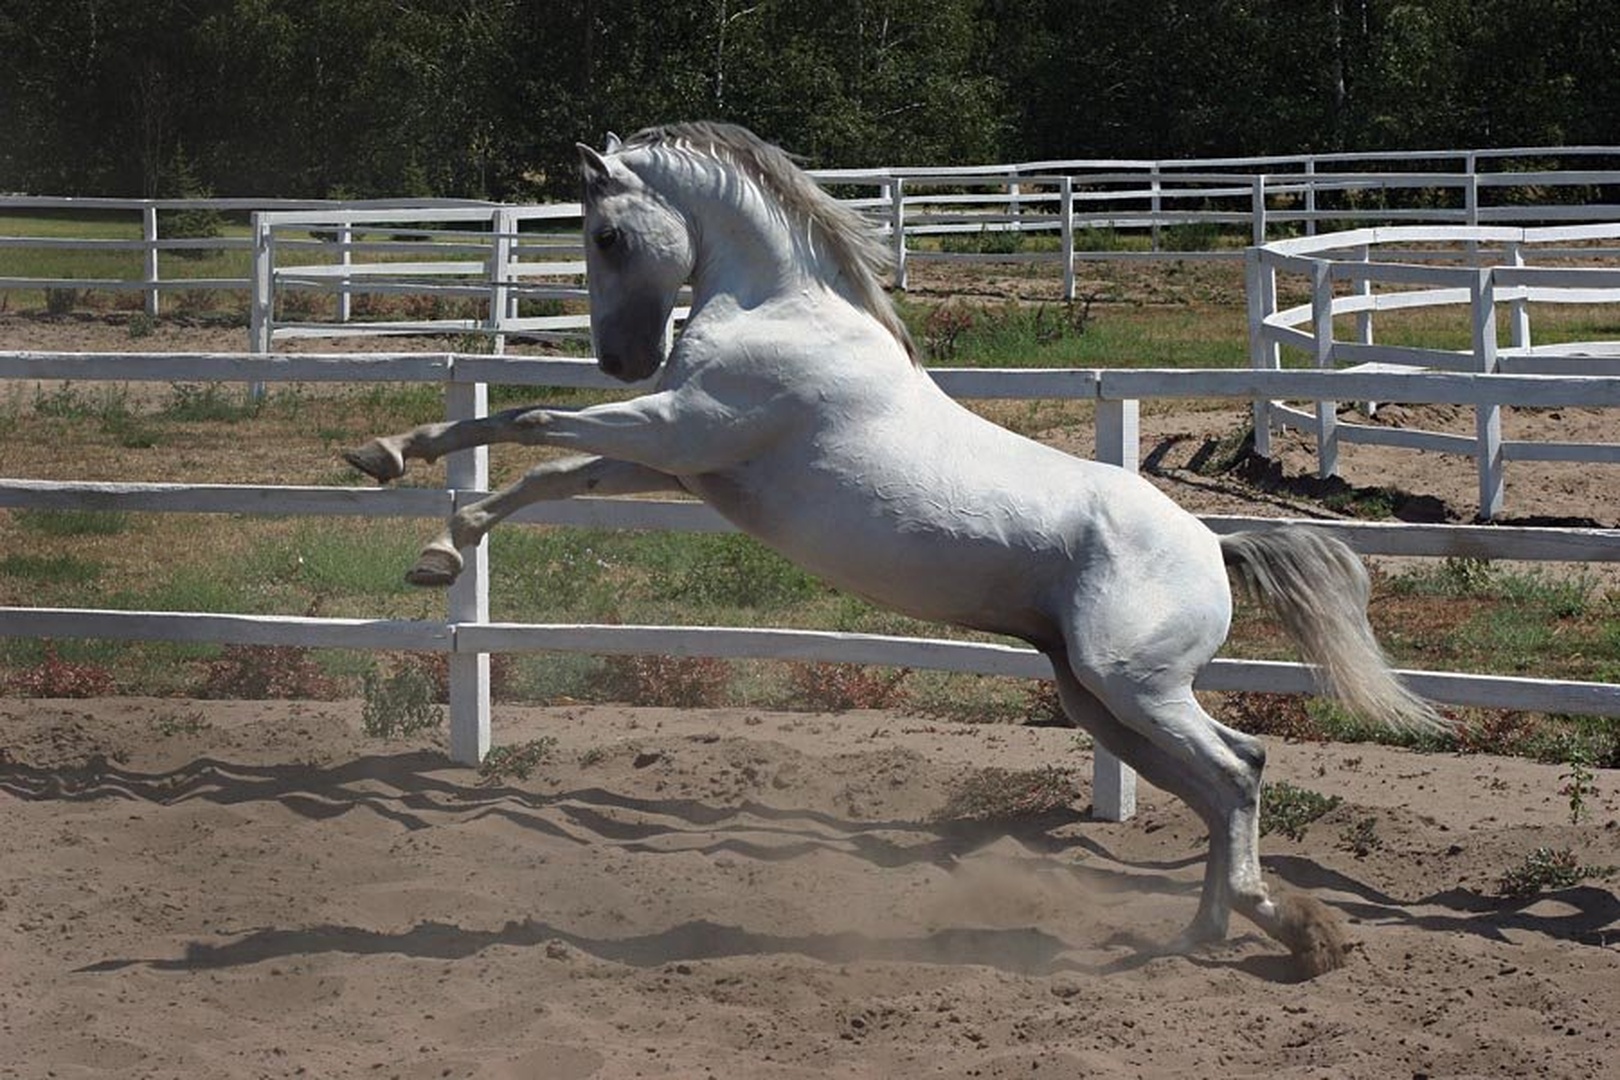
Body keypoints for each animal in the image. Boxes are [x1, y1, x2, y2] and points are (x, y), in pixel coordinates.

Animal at [344, 120, 1442, 975]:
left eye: (608, 234)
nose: (621, 358)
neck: (782, 313)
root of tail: (1214, 545)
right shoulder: (680, 458)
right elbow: (543, 474)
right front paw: (438, 542)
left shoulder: (679, 427)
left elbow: (526, 421)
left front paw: (392, 460)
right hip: (1105, 700)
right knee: (1223, 784)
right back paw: (1225, 932)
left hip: (1133, 687)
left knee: (1241, 773)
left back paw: (1262, 925)